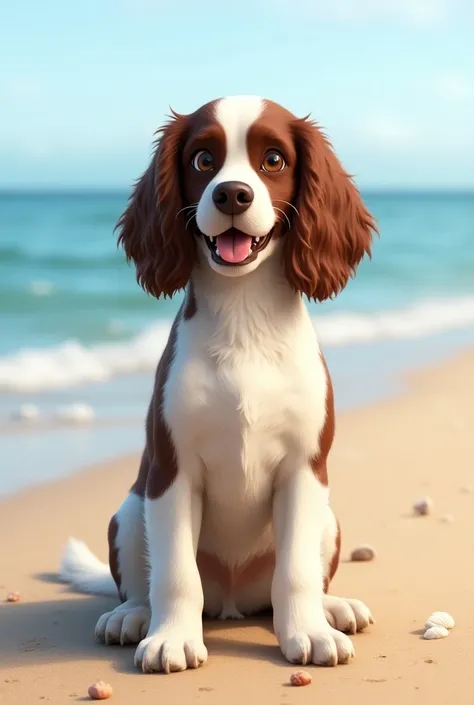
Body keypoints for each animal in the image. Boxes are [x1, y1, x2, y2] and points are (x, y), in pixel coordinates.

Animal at [60, 93, 378, 672]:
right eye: (203, 160)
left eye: (273, 159)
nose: (232, 193)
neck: (243, 315)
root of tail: (233, 601)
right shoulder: (172, 470)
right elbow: (175, 575)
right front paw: (171, 639)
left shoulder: (304, 469)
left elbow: (295, 572)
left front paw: (308, 633)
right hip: (130, 511)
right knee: (141, 583)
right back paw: (132, 617)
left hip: (328, 519)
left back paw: (332, 608)